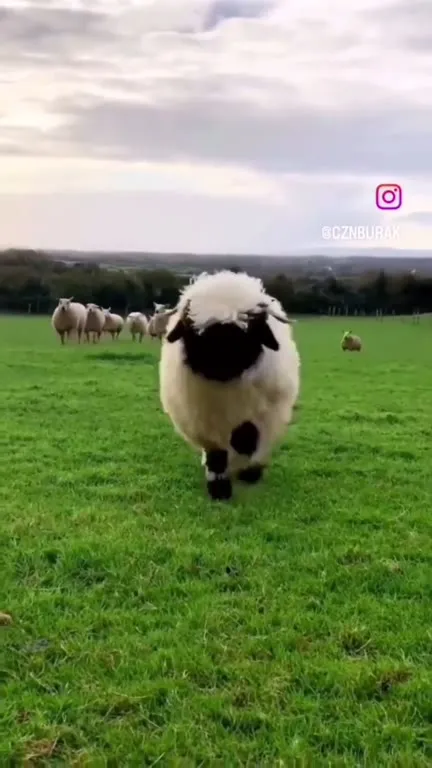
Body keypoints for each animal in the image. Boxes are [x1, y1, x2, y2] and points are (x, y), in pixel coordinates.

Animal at [159, 270, 300, 501]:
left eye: (248, 329)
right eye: (195, 330)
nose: (220, 361)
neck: (225, 386)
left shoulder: (260, 416)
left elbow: (247, 440)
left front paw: (247, 470)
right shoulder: (203, 422)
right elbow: (217, 455)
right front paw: (219, 489)